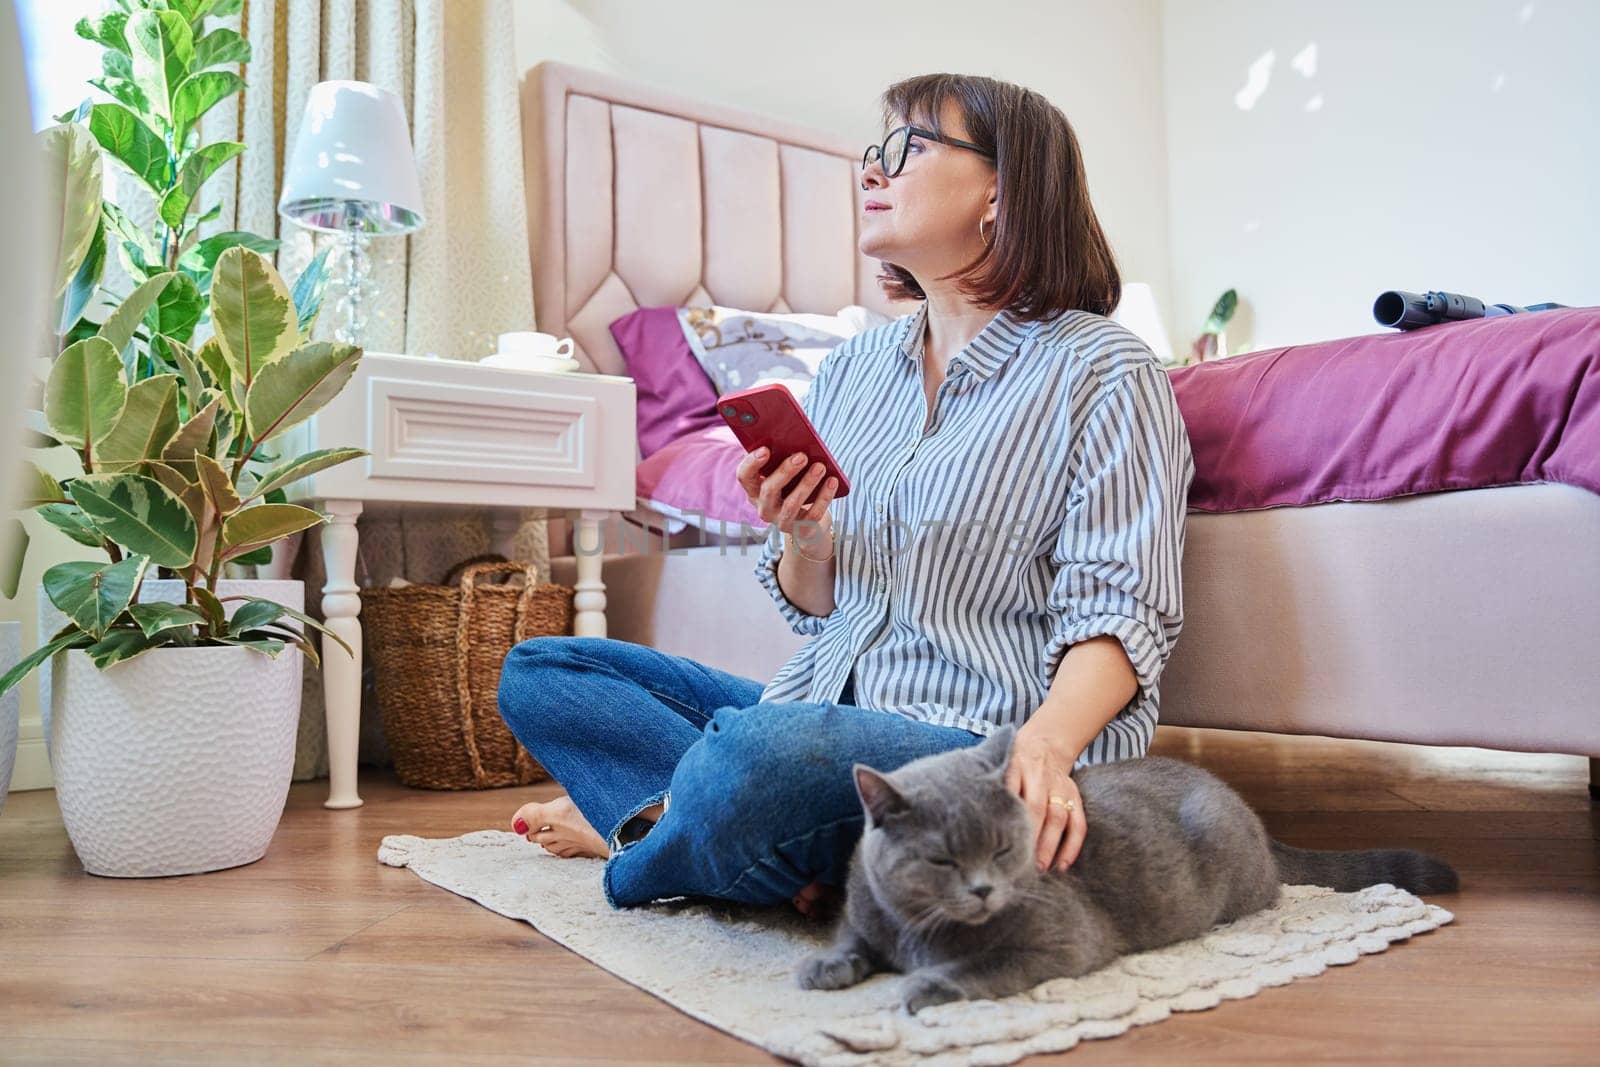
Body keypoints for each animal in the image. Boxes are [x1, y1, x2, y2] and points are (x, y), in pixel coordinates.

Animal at [793, 723, 1459, 1017]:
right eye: (942, 859)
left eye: (1004, 849)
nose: (983, 890)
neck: (918, 929)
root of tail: (1239, 801)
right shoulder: (866, 907)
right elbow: (851, 935)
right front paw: (823, 966)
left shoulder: (1062, 941)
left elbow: (983, 965)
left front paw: (926, 986)